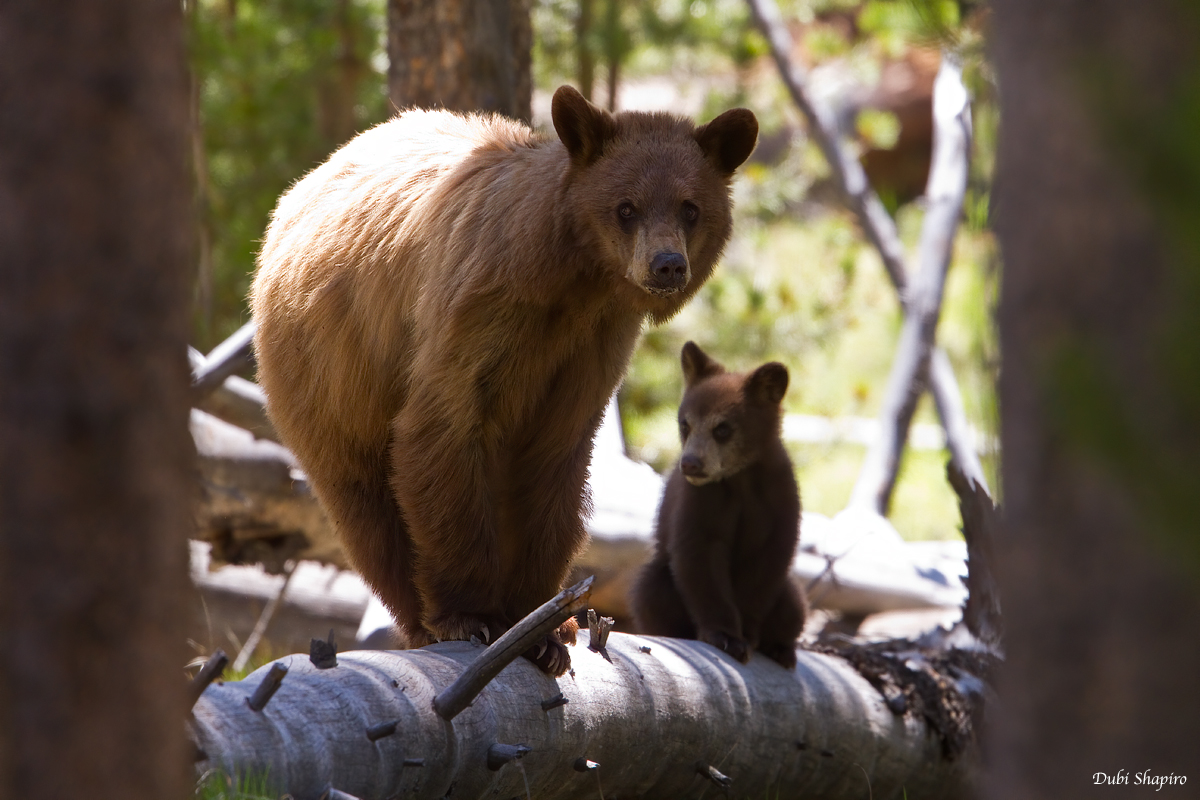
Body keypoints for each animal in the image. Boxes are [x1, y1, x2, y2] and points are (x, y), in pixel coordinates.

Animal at [253, 87, 758, 676]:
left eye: (690, 207)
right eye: (626, 207)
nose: (667, 265)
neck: (572, 282)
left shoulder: (590, 347)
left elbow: (554, 459)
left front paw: (543, 625)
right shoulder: (481, 311)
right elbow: (442, 427)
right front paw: (475, 616)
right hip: (333, 372)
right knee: (367, 507)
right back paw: (419, 620)